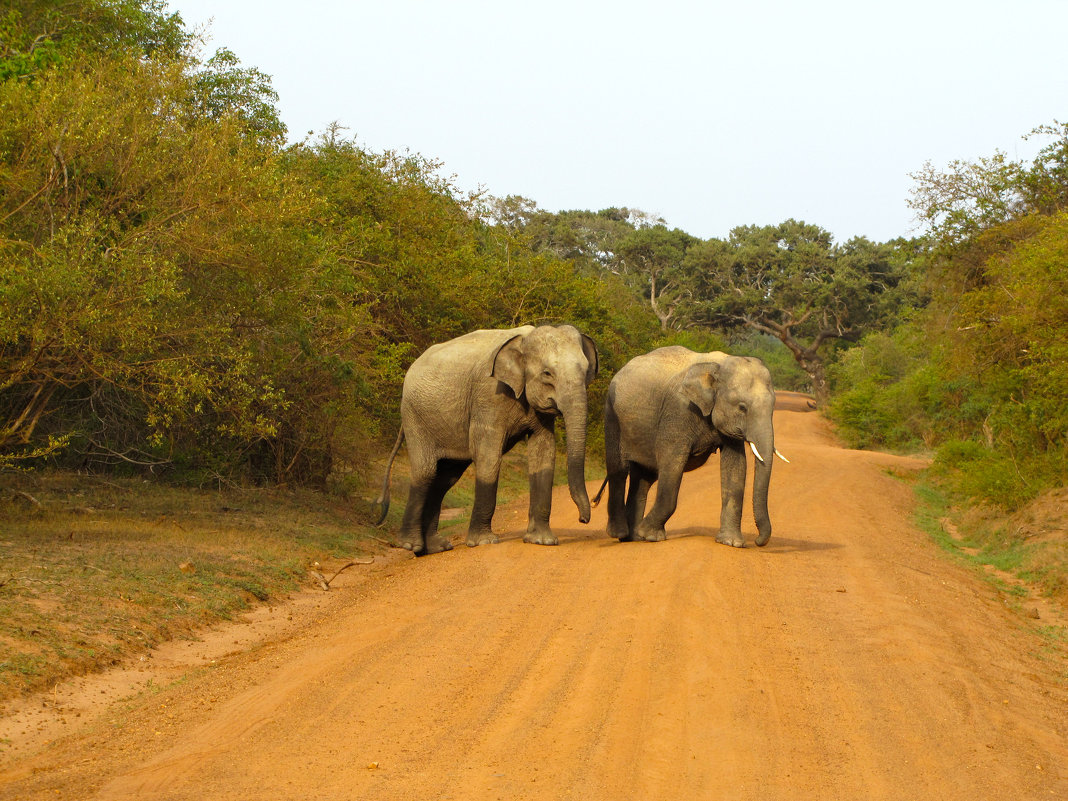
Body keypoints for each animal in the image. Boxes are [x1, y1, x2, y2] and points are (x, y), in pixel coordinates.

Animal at [375, 326, 598, 559]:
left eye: (586, 372)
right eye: (547, 373)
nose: (583, 519)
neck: (524, 339)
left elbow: (543, 453)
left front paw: (542, 541)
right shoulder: (488, 397)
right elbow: (488, 455)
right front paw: (484, 542)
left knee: (445, 479)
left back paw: (435, 548)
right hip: (415, 416)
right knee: (425, 472)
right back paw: (411, 546)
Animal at [598, 348, 790, 551]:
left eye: (773, 407)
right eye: (742, 407)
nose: (759, 541)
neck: (717, 365)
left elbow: (735, 467)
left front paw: (731, 543)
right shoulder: (678, 411)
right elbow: (672, 463)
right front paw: (650, 535)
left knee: (644, 477)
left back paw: (633, 537)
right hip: (612, 413)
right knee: (619, 470)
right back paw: (621, 533)